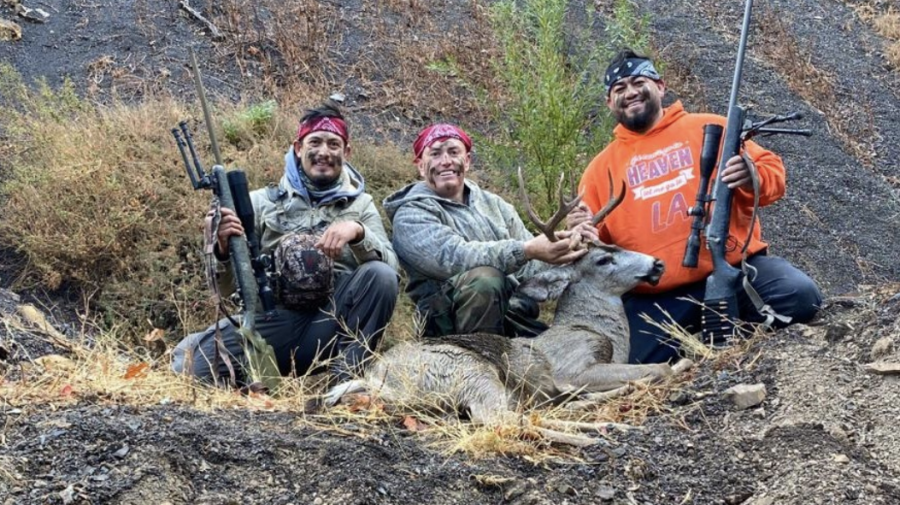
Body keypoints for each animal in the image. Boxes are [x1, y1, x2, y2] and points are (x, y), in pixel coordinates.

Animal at [326, 169, 680, 426]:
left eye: (616, 245)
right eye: (604, 260)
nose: (657, 264)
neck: (592, 329)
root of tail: (376, 377)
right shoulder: (570, 368)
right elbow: (659, 368)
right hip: (470, 371)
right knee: (502, 419)